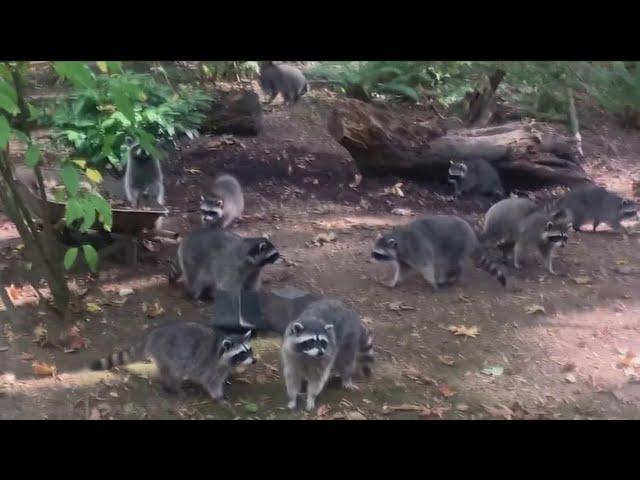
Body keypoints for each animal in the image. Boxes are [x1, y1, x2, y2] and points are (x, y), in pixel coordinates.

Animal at [90, 320, 255, 404]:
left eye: (249, 349)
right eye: (242, 353)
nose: (254, 361)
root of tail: (152, 336)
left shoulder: (222, 365)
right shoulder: (211, 365)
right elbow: (211, 383)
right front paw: (218, 396)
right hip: (166, 352)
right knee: (173, 372)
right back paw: (173, 387)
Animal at [372, 217, 508, 290]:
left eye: (379, 254)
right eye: (374, 253)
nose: (371, 260)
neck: (400, 239)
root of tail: (472, 236)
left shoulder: (416, 248)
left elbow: (426, 265)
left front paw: (432, 282)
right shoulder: (404, 257)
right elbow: (404, 269)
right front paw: (394, 282)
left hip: (456, 247)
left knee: (452, 264)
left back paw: (451, 277)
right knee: (444, 264)